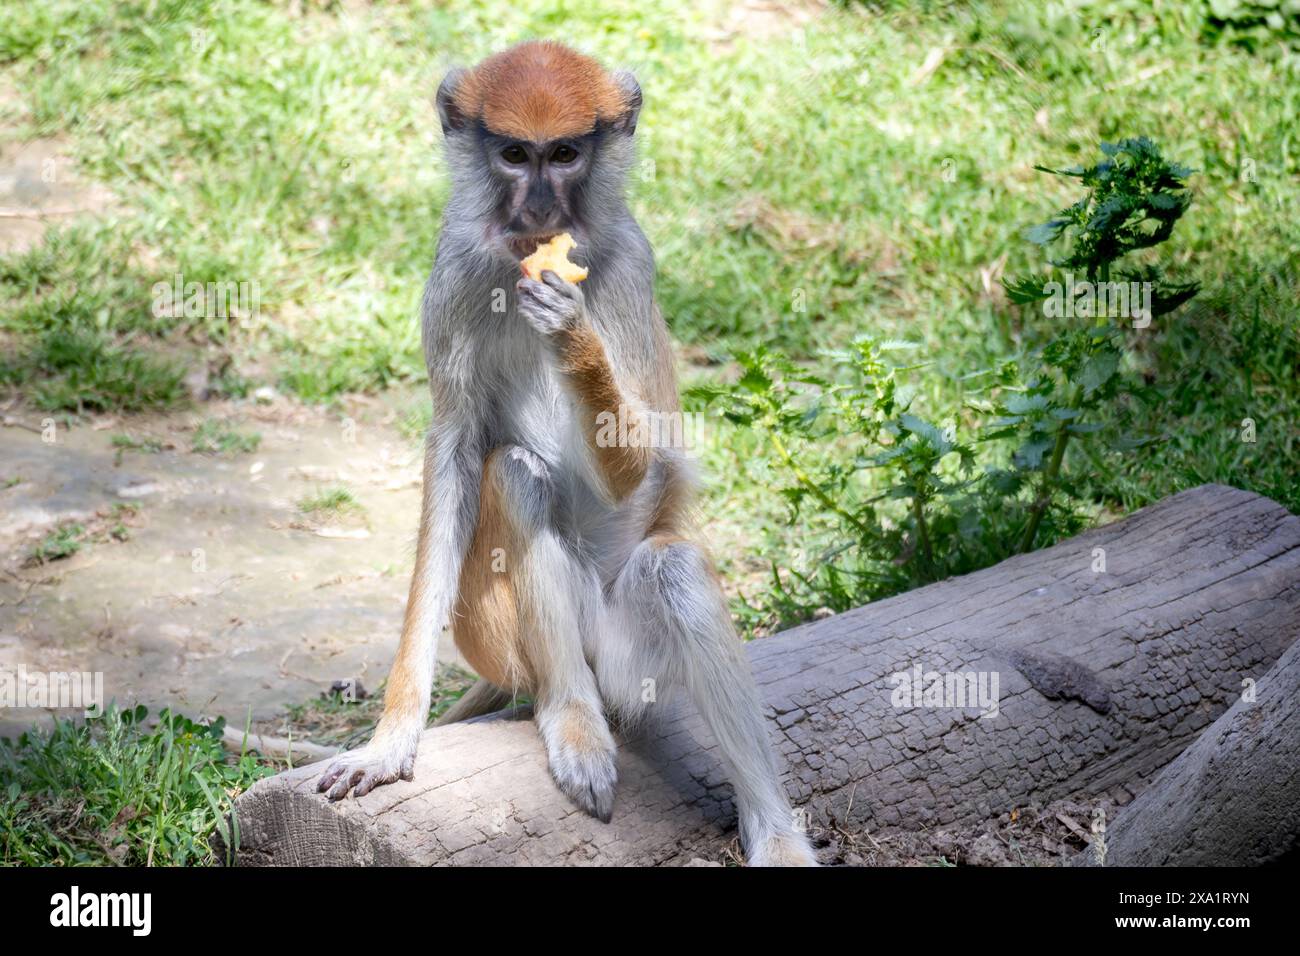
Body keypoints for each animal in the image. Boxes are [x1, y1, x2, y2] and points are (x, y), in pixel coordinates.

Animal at [317, 41, 811, 868]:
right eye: (515, 155)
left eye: (567, 154)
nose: (542, 212)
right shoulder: (454, 273)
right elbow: (458, 452)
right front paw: (390, 739)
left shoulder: (634, 265)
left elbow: (641, 465)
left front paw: (572, 337)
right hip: (496, 638)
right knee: (515, 475)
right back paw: (574, 722)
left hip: (630, 663)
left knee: (673, 570)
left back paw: (774, 835)